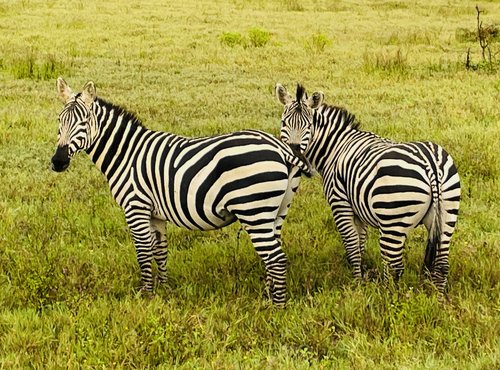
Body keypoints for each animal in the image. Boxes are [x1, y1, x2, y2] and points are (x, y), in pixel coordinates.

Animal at [49, 78, 308, 306]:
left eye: (84, 123)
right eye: (60, 121)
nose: (58, 162)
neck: (127, 154)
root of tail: (280, 148)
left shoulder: (136, 207)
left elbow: (143, 252)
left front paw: (146, 294)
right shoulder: (156, 213)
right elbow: (160, 250)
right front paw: (163, 288)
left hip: (254, 211)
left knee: (276, 259)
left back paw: (277, 307)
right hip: (276, 212)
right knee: (273, 255)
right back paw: (268, 296)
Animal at [274, 83, 460, 294]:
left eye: (308, 126)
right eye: (284, 123)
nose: (294, 154)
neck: (335, 148)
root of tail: (431, 164)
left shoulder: (340, 205)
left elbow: (353, 246)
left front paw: (356, 285)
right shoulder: (358, 209)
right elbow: (361, 243)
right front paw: (361, 277)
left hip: (392, 221)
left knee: (394, 267)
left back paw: (388, 297)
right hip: (447, 215)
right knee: (442, 264)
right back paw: (438, 298)